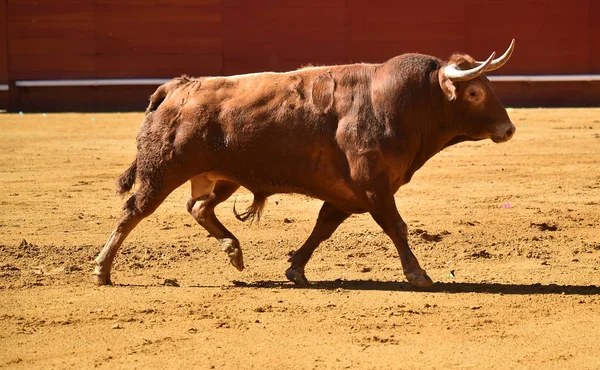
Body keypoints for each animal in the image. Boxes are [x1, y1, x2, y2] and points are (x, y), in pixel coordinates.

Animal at [94, 41, 516, 290]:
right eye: (475, 92)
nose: (509, 129)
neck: (398, 103)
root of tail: (178, 87)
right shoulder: (374, 186)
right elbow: (396, 226)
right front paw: (419, 274)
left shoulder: (349, 193)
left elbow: (322, 227)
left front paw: (295, 269)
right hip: (162, 171)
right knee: (134, 210)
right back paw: (102, 270)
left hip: (222, 178)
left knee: (198, 207)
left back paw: (234, 251)